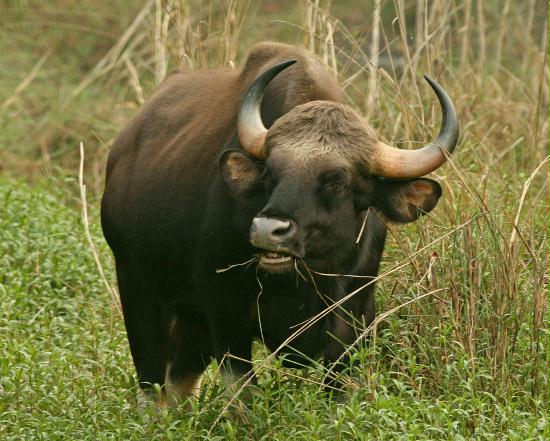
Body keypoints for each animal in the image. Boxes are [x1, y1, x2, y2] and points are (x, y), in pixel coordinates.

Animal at [101, 41, 460, 406]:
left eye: (338, 182)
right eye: (271, 174)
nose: (268, 230)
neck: (302, 279)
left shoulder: (354, 319)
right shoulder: (225, 311)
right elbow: (242, 395)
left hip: (190, 319)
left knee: (179, 383)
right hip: (137, 292)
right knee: (151, 385)